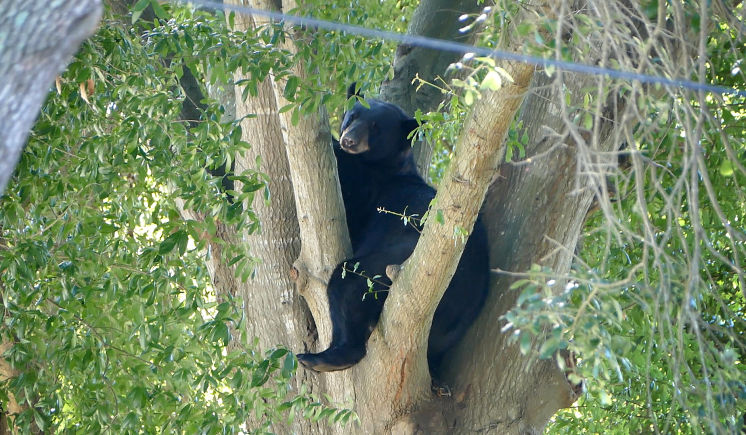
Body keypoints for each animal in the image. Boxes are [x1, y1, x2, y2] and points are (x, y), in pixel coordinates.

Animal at [296, 84, 488, 374]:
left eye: (376, 128)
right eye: (352, 116)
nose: (349, 141)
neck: (388, 166)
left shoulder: (368, 189)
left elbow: (348, 189)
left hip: (397, 257)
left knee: (350, 282)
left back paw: (325, 356)